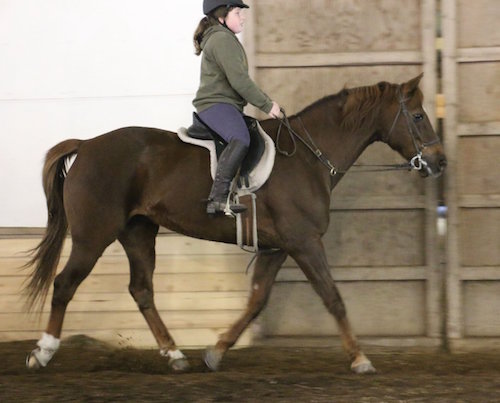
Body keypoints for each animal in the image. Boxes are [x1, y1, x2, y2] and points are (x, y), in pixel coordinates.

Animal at [24, 75, 446, 376]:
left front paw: (215, 352)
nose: (440, 162)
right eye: (418, 116)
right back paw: (42, 352)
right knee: (65, 284)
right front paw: (360, 359)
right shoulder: (305, 242)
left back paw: (175, 354)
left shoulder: (278, 247)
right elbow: (333, 297)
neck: (308, 158)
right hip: (93, 236)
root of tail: (87, 144)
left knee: (141, 290)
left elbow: (256, 300)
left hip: (138, 233)